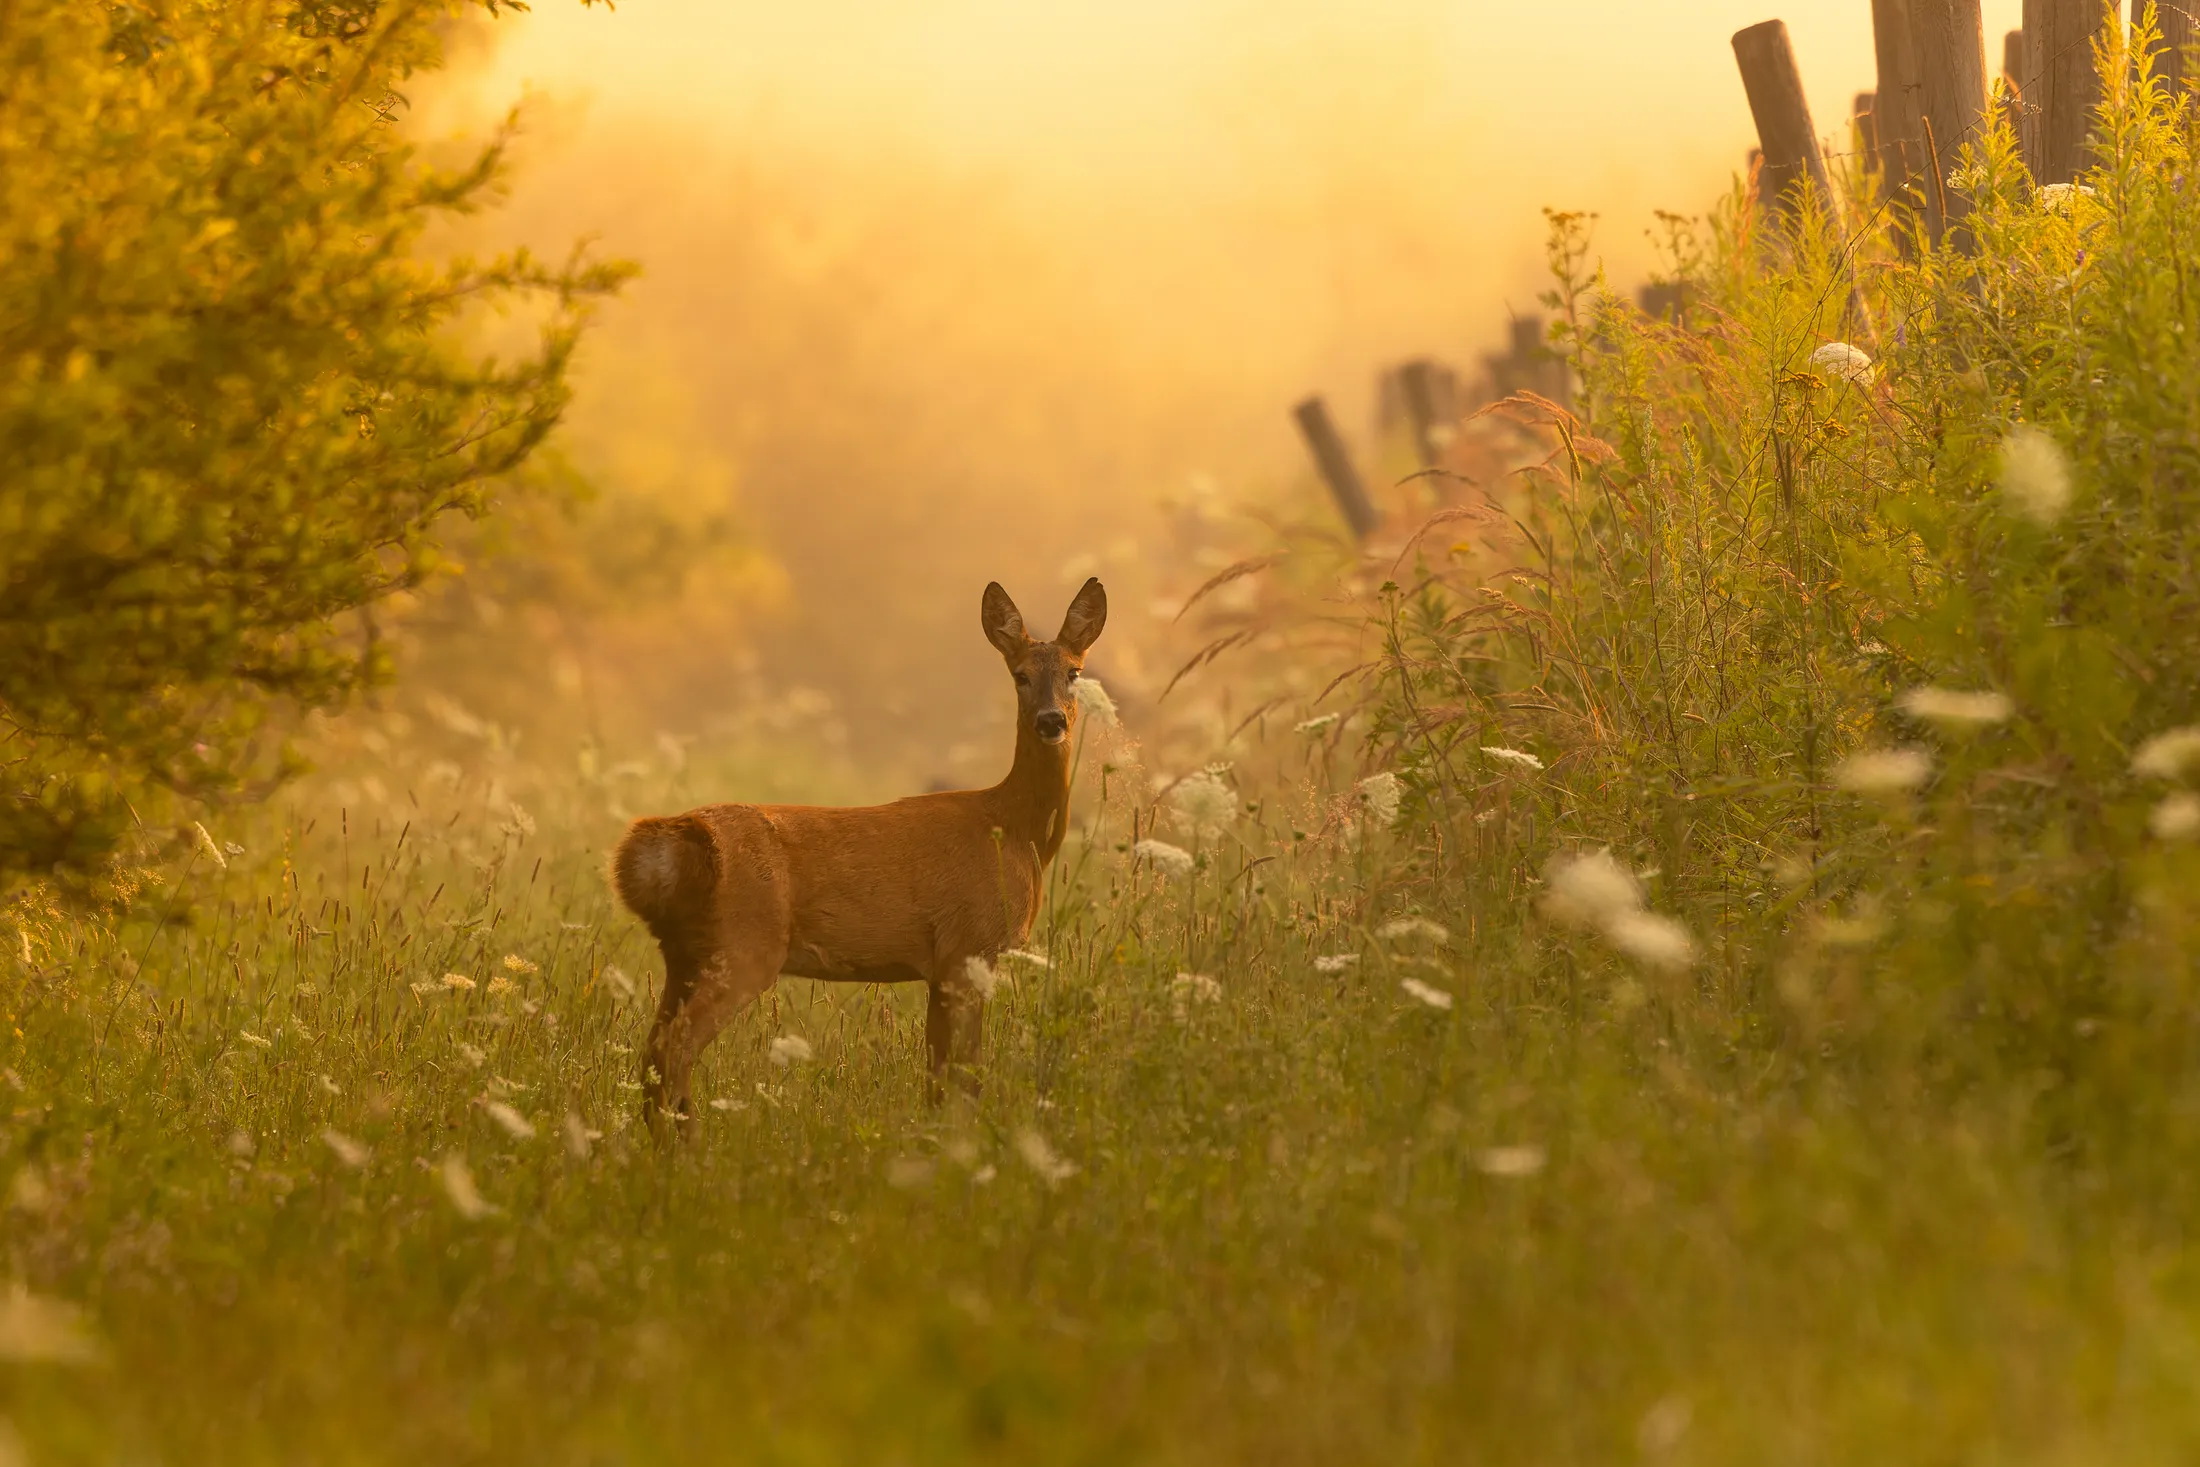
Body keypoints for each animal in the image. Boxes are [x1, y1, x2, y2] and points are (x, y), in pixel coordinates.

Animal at [609, 577, 1107, 1131]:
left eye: (1074, 672)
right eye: (1020, 675)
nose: (1051, 721)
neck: (1015, 830)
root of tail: (667, 841)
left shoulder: (941, 965)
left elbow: (937, 1081)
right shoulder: (969, 948)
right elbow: (969, 1079)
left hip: (683, 954)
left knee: (652, 1053)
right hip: (743, 946)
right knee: (673, 1050)